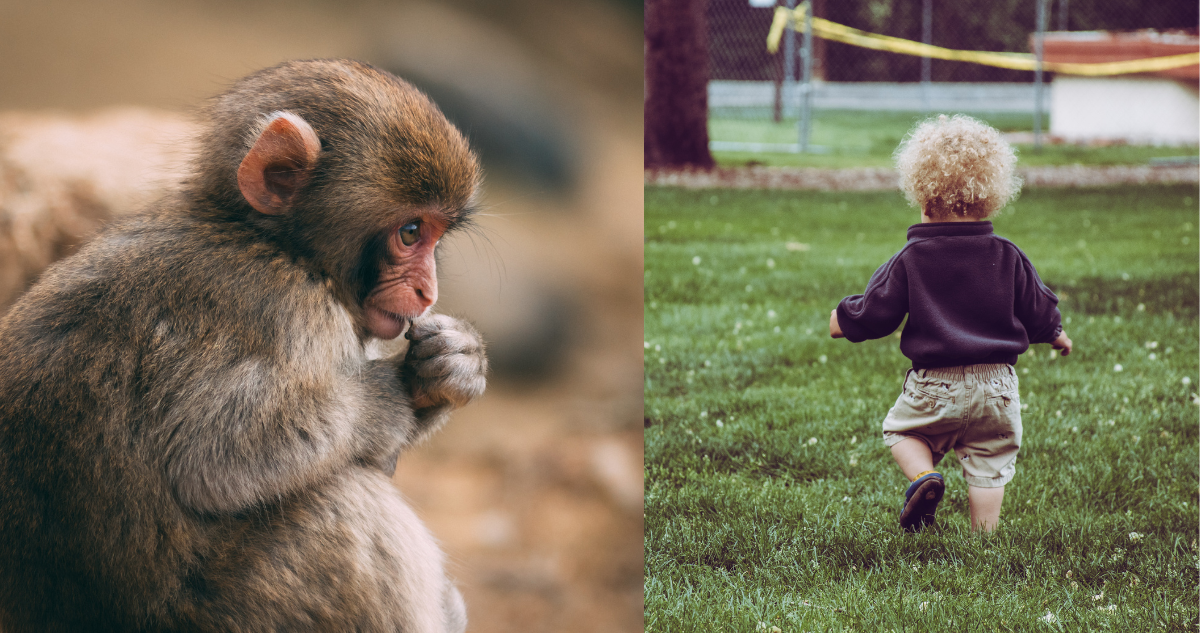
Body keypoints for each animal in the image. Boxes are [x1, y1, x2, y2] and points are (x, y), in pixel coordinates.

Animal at [0, 59, 486, 632]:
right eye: (411, 232)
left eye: (435, 237)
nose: (427, 291)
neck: (275, 244)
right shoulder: (285, 309)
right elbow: (215, 457)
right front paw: (391, 393)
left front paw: (453, 364)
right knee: (348, 506)